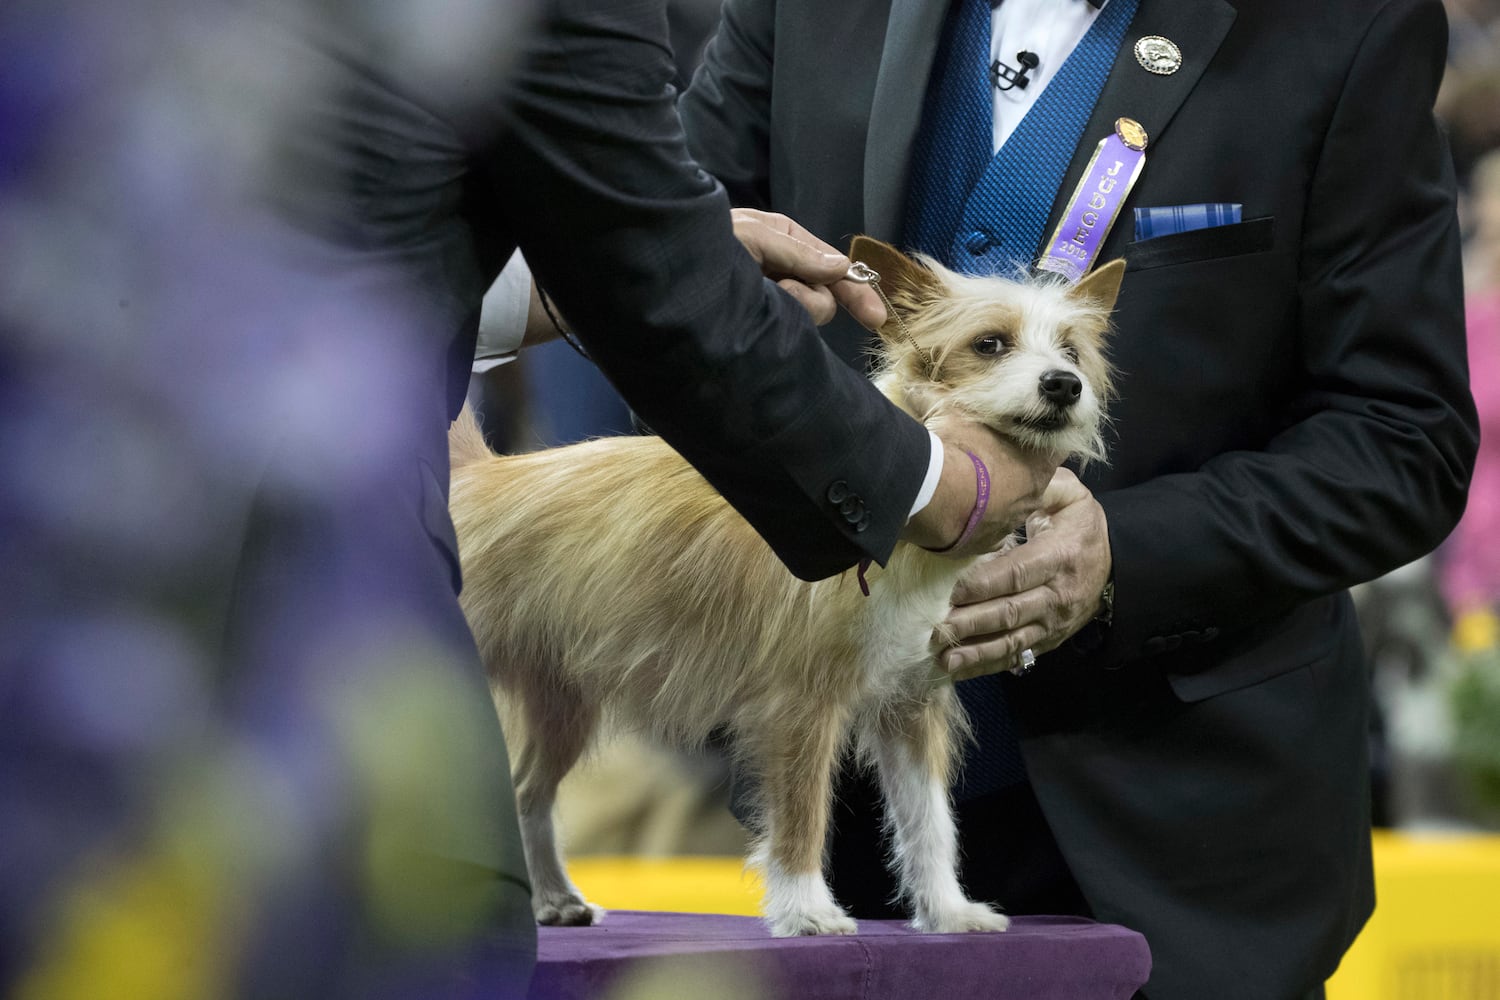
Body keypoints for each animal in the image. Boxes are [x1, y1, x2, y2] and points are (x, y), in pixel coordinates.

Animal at [444, 238, 1116, 941]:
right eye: (989, 344)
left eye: (1071, 351)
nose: (1063, 385)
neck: (908, 543)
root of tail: (478, 476)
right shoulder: (798, 707)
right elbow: (801, 815)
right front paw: (806, 909)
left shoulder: (909, 708)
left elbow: (929, 822)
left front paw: (947, 910)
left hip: (563, 706)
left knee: (529, 794)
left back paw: (554, 898)